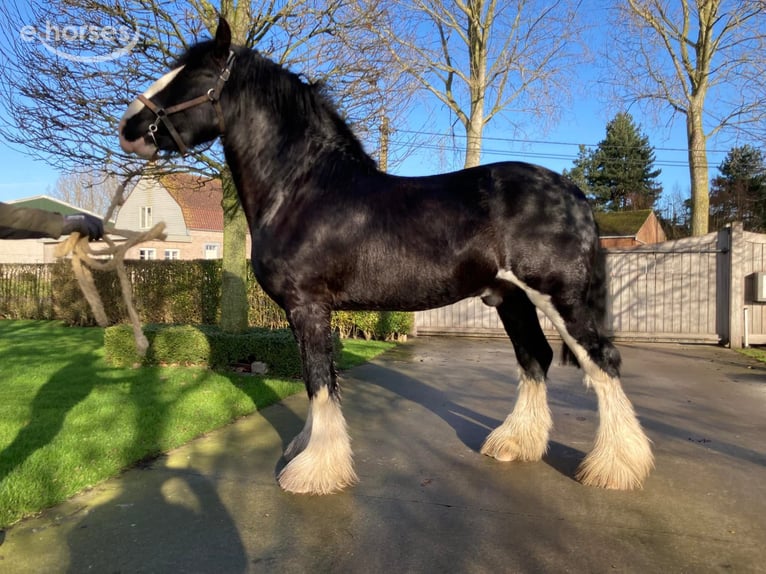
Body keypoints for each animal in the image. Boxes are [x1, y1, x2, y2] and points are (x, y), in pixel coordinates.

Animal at [119, 17, 653, 495]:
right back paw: (515, 444)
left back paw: (616, 467)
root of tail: (574, 194)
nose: (129, 127)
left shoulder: (308, 306)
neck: (301, 187)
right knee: (535, 359)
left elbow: (319, 383)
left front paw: (314, 471)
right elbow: (320, 381)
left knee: (602, 361)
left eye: (193, 76)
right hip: (511, 298)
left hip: (560, 298)